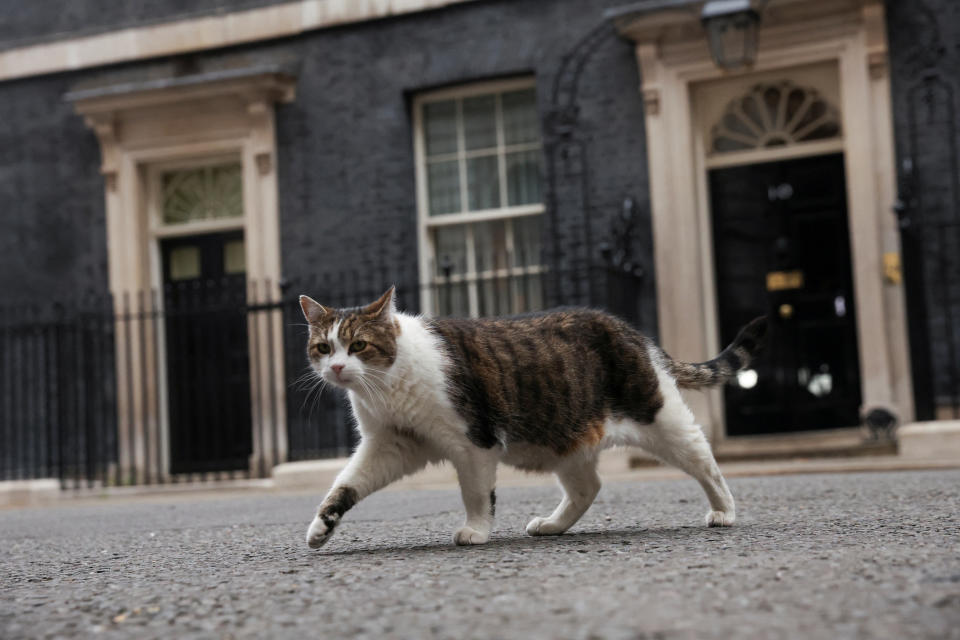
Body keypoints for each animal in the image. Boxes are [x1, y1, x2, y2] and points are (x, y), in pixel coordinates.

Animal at [300, 288, 764, 548]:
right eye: (323, 347)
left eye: (358, 345)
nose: (337, 368)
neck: (387, 389)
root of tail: (634, 334)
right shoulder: (390, 445)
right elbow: (345, 485)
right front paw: (322, 527)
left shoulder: (473, 443)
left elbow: (476, 494)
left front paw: (476, 531)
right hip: (566, 438)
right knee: (588, 487)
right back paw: (553, 525)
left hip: (661, 420)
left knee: (705, 461)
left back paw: (724, 511)